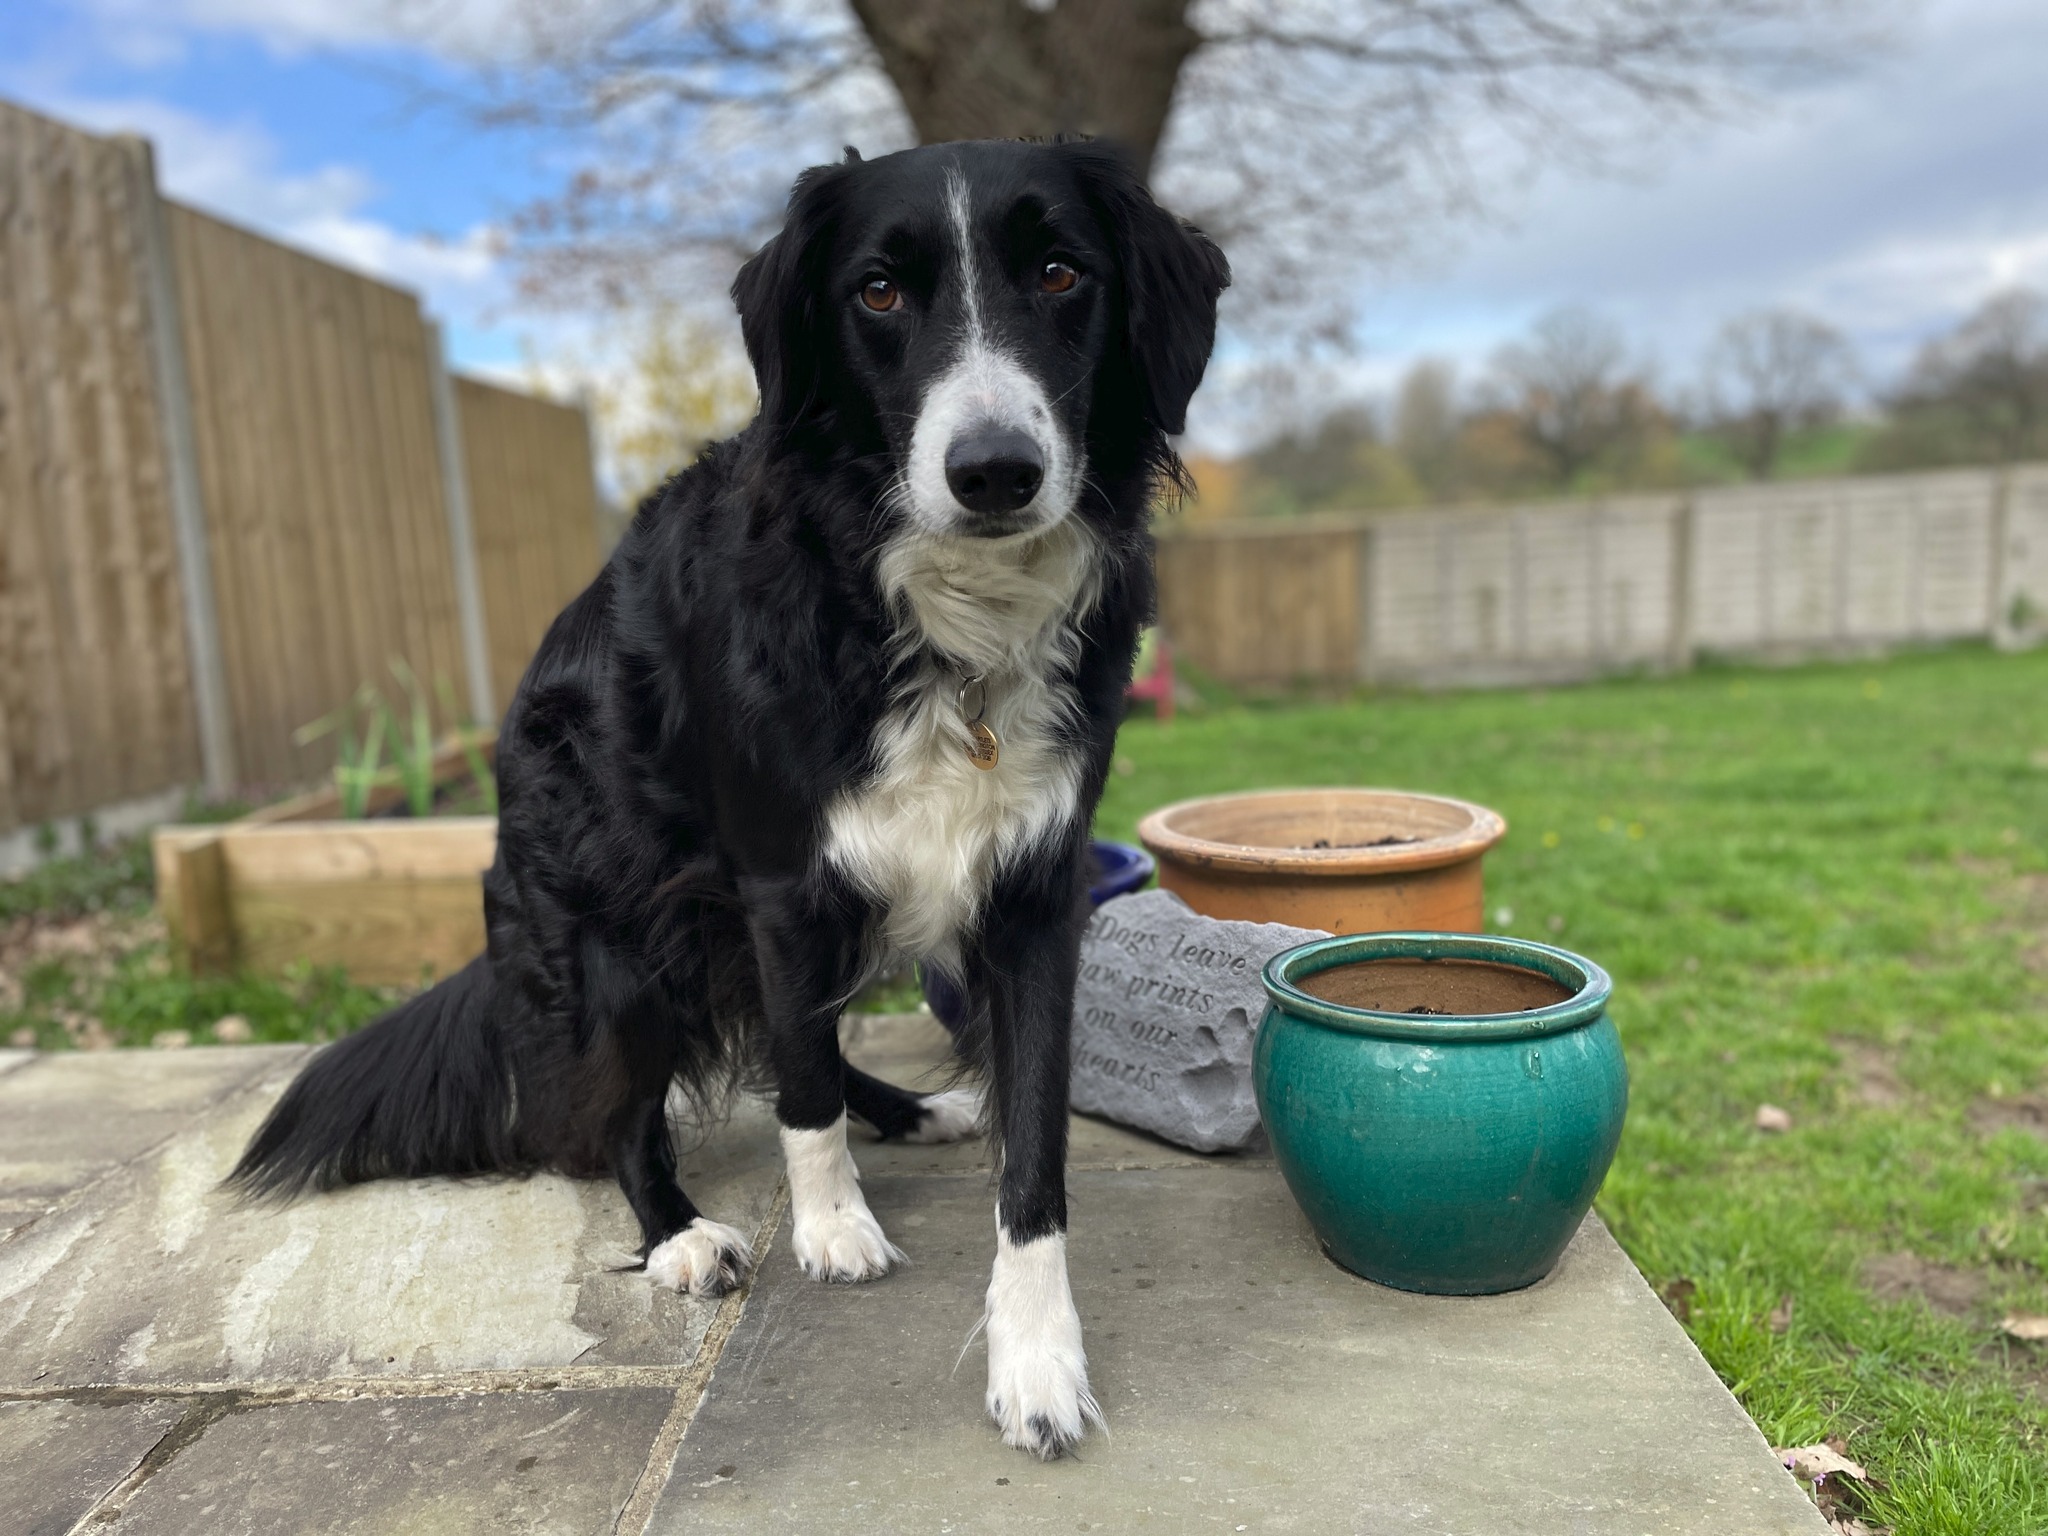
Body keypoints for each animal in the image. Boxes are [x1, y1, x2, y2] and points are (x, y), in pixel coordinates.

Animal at [239, 138, 1228, 1458]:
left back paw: (907, 1111)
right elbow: (798, 1082)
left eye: (1062, 272)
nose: (994, 473)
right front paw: (830, 1226)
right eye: (877, 292)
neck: (937, 616)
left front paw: (1035, 1362)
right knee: (615, 1113)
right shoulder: (777, 882)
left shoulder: (1032, 891)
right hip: (619, 937)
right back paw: (678, 1232)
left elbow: (1032, 1150)